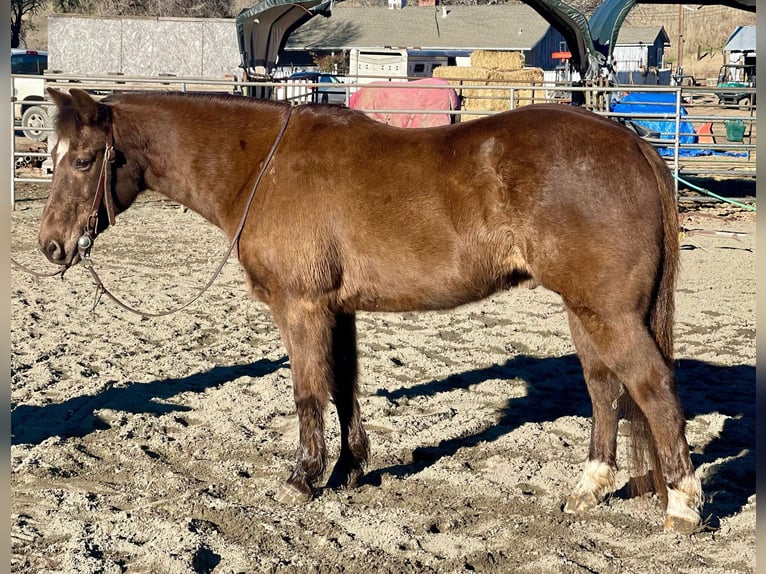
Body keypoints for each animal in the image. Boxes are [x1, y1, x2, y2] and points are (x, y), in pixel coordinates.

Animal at [40, 89, 704, 536]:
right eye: (52, 155)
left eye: (83, 160)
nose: (51, 245)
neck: (262, 167)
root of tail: (631, 143)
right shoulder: (339, 310)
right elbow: (344, 387)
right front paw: (349, 470)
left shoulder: (301, 307)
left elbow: (309, 391)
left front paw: (303, 480)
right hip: (585, 312)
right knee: (604, 390)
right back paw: (587, 491)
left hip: (609, 313)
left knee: (652, 387)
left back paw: (681, 506)